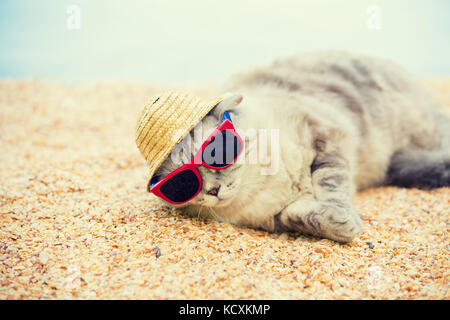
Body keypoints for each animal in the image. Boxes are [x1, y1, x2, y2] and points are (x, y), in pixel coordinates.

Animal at [153, 52, 448, 242]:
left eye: (215, 154)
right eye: (183, 184)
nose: (213, 190)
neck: (262, 186)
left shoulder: (324, 136)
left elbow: (331, 186)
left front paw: (344, 219)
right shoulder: (272, 218)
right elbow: (299, 215)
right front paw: (340, 224)